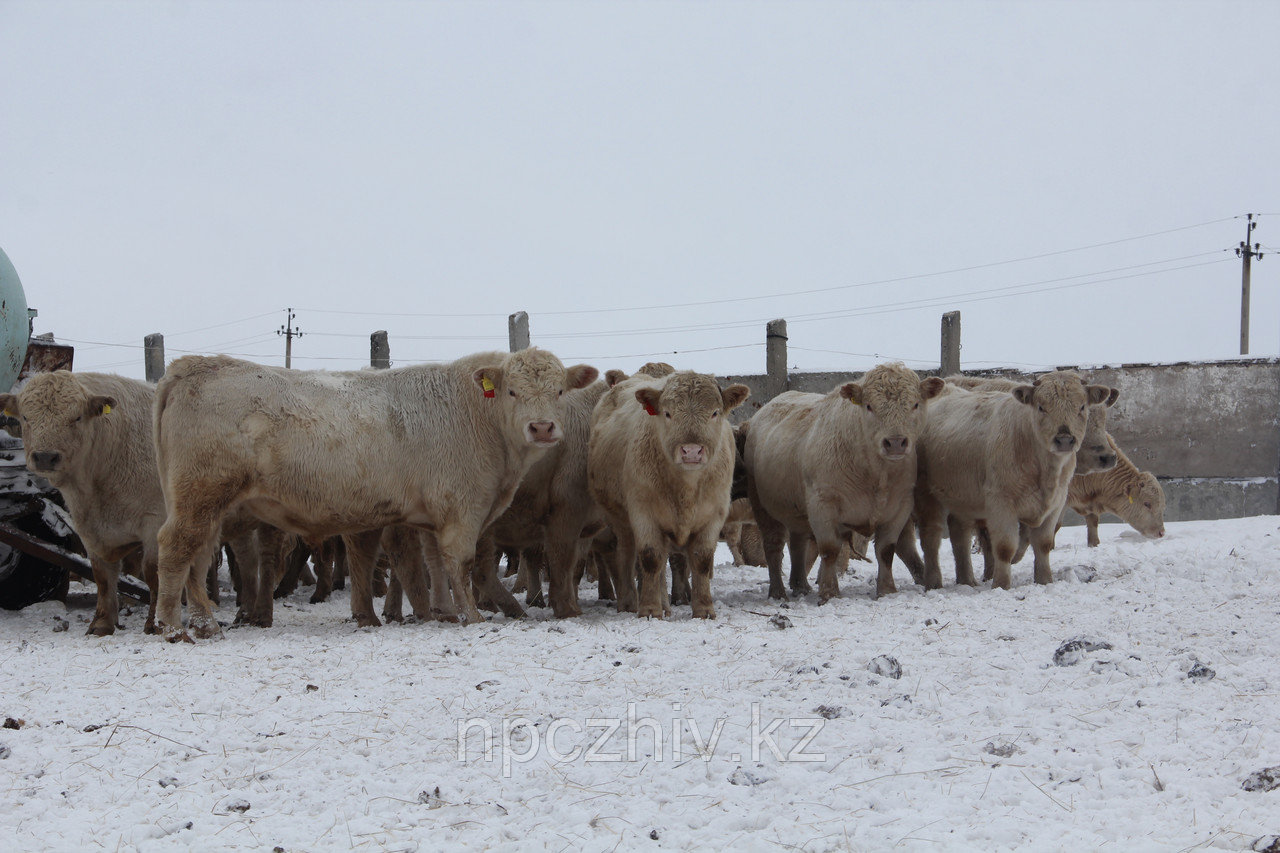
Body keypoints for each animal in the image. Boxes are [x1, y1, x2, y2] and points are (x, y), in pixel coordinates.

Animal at [151, 348, 593, 637]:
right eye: (512, 391)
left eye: (559, 391)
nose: (542, 427)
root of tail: (195, 365)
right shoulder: (463, 508)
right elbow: (460, 563)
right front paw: (472, 616)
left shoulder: (429, 516)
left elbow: (430, 564)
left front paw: (441, 612)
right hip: (200, 494)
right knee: (176, 548)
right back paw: (172, 626)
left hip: (207, 503)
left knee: (198, 555)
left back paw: (205, 623)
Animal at [588, 368, 747, 614]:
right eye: (668, 413)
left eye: (714, 412)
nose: (691, 451)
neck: (686, 489)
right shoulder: (644, 513)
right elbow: (650, 558)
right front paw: (649, 609)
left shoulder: (714, 515)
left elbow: (702, 560)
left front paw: (704, 609)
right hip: (620, 520)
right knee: (626, 557)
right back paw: (629, 602)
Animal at [747, 361, 947, 596]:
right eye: (869, 406)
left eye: (915, 404)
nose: (896, 442)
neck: (875, 475)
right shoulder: (823, 504)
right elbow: (829, 550)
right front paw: (829, 591)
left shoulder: (900, 506)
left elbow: (886, 550)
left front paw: (887, 589)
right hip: (763, 508)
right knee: (774, 547)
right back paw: (778, 591)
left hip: (796, 513)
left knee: (797, 545)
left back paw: (800, 586)